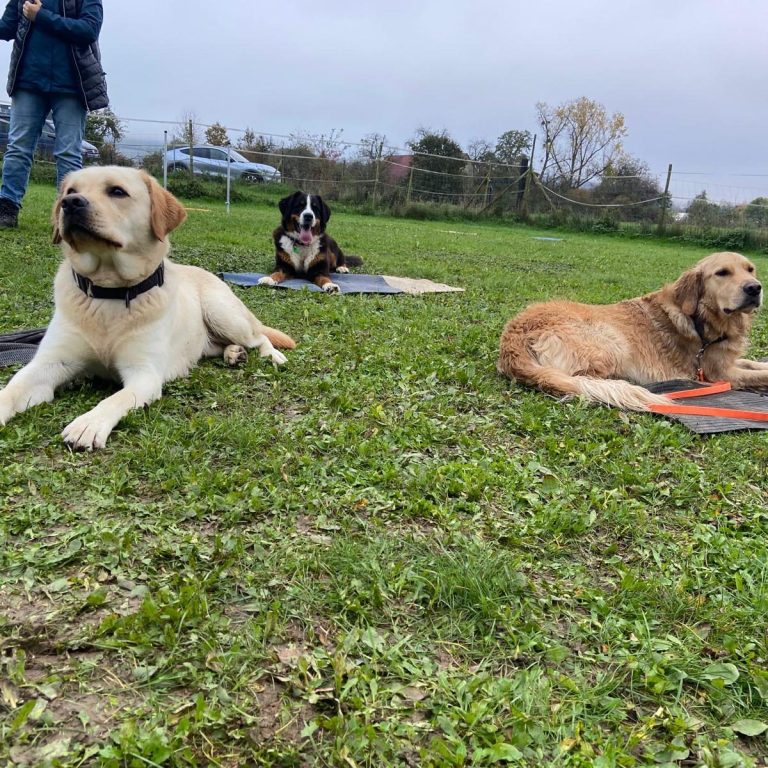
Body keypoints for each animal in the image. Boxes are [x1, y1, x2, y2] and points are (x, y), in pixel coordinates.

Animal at [0, 166, 294, 450]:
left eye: (117, 191)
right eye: (70, 191)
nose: (70, 203)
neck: (109, 294)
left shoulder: (144, 374)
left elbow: (115, 399)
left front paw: (89, 424)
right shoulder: (49, 363)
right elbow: (11, 388)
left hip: (223, 313)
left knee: (260, 337)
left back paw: (271, 355)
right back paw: (233, 353)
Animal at [498, 252, 768, 412]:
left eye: (751, 269)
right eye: (722, 273)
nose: (755, 288)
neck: (699, 318)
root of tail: (512, 336)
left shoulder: (726, 362)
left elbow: (754, 364)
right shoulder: (721, 374)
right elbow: (760, 375)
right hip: (611, 343)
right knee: (583, 378)